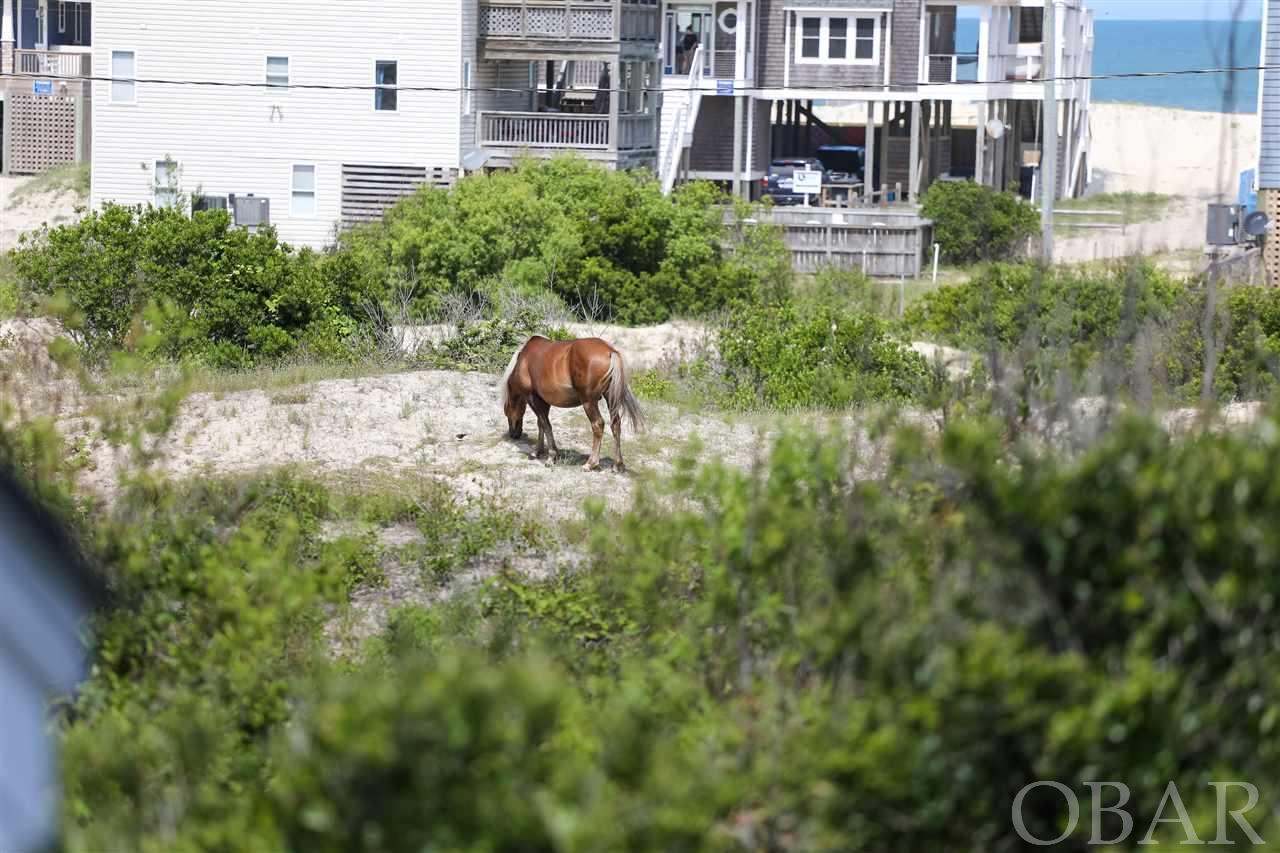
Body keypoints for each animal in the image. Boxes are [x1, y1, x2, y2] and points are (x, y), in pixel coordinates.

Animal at [496, 335, 640, 471]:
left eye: (507, 411)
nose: (513, 434)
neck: (523, 362)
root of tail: (609, 351)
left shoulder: (533, 398)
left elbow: (546, 425)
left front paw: (551, 456)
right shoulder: (544, 401)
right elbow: (541, 424)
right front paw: (538, 451)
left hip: (589, 402)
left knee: (598, 425)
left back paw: (591, 463)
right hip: (610, 398)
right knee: (616, 424)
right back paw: (618, 465)